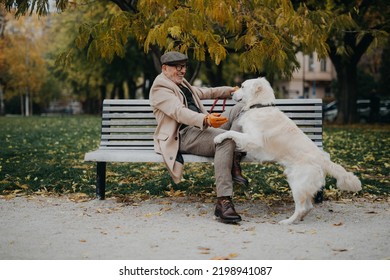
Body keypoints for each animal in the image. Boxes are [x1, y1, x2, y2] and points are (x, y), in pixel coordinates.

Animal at [215, 77, 362, 225]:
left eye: (243, 86)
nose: (231, 93)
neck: (260, 106)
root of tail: (323, 159)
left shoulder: (255, 140)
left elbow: (232, 133)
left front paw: (218, 137)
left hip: (297, 182)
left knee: (302, 207)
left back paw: (287, 221)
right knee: (308, 206)